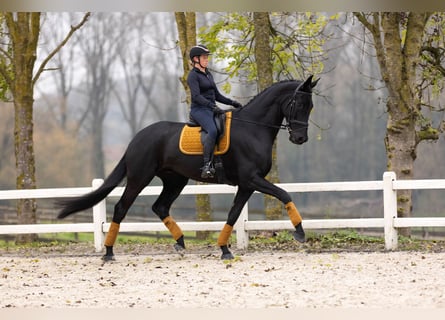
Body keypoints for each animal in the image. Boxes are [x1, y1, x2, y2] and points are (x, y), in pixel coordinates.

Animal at [56, 75, 320, 260]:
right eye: (297, 103)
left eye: (311, 106)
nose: (300, 139)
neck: (253, 128)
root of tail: (137, 138)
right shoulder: (252, 179)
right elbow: (284, 194)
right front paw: (300, 233)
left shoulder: (246, 185)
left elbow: (234, 214)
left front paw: (224, 249)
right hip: (140, 177)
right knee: (122, 207)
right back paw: (109, 253)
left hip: (175, 180)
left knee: (160, 206)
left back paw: (181, 242)